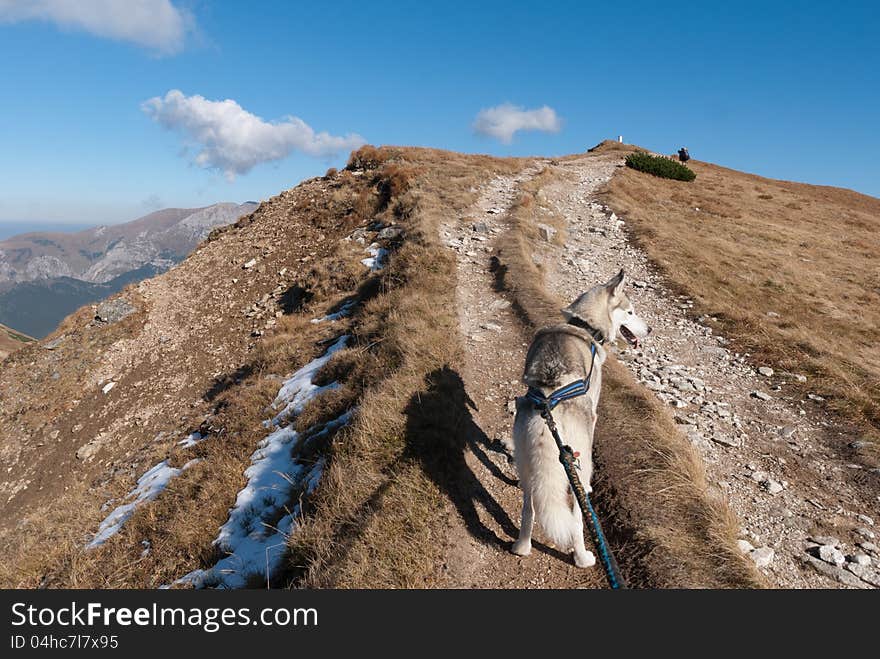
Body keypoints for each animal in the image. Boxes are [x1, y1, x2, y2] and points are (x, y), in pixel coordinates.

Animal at [512, 270, 648, 568]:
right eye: (630, 312)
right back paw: (583, 556)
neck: (584, 327)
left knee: (529, 506)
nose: (650, 330)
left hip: (526, 459)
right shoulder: (594, 413)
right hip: (578, 461)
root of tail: (548, 402)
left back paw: (522, 546)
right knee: (576, 517)